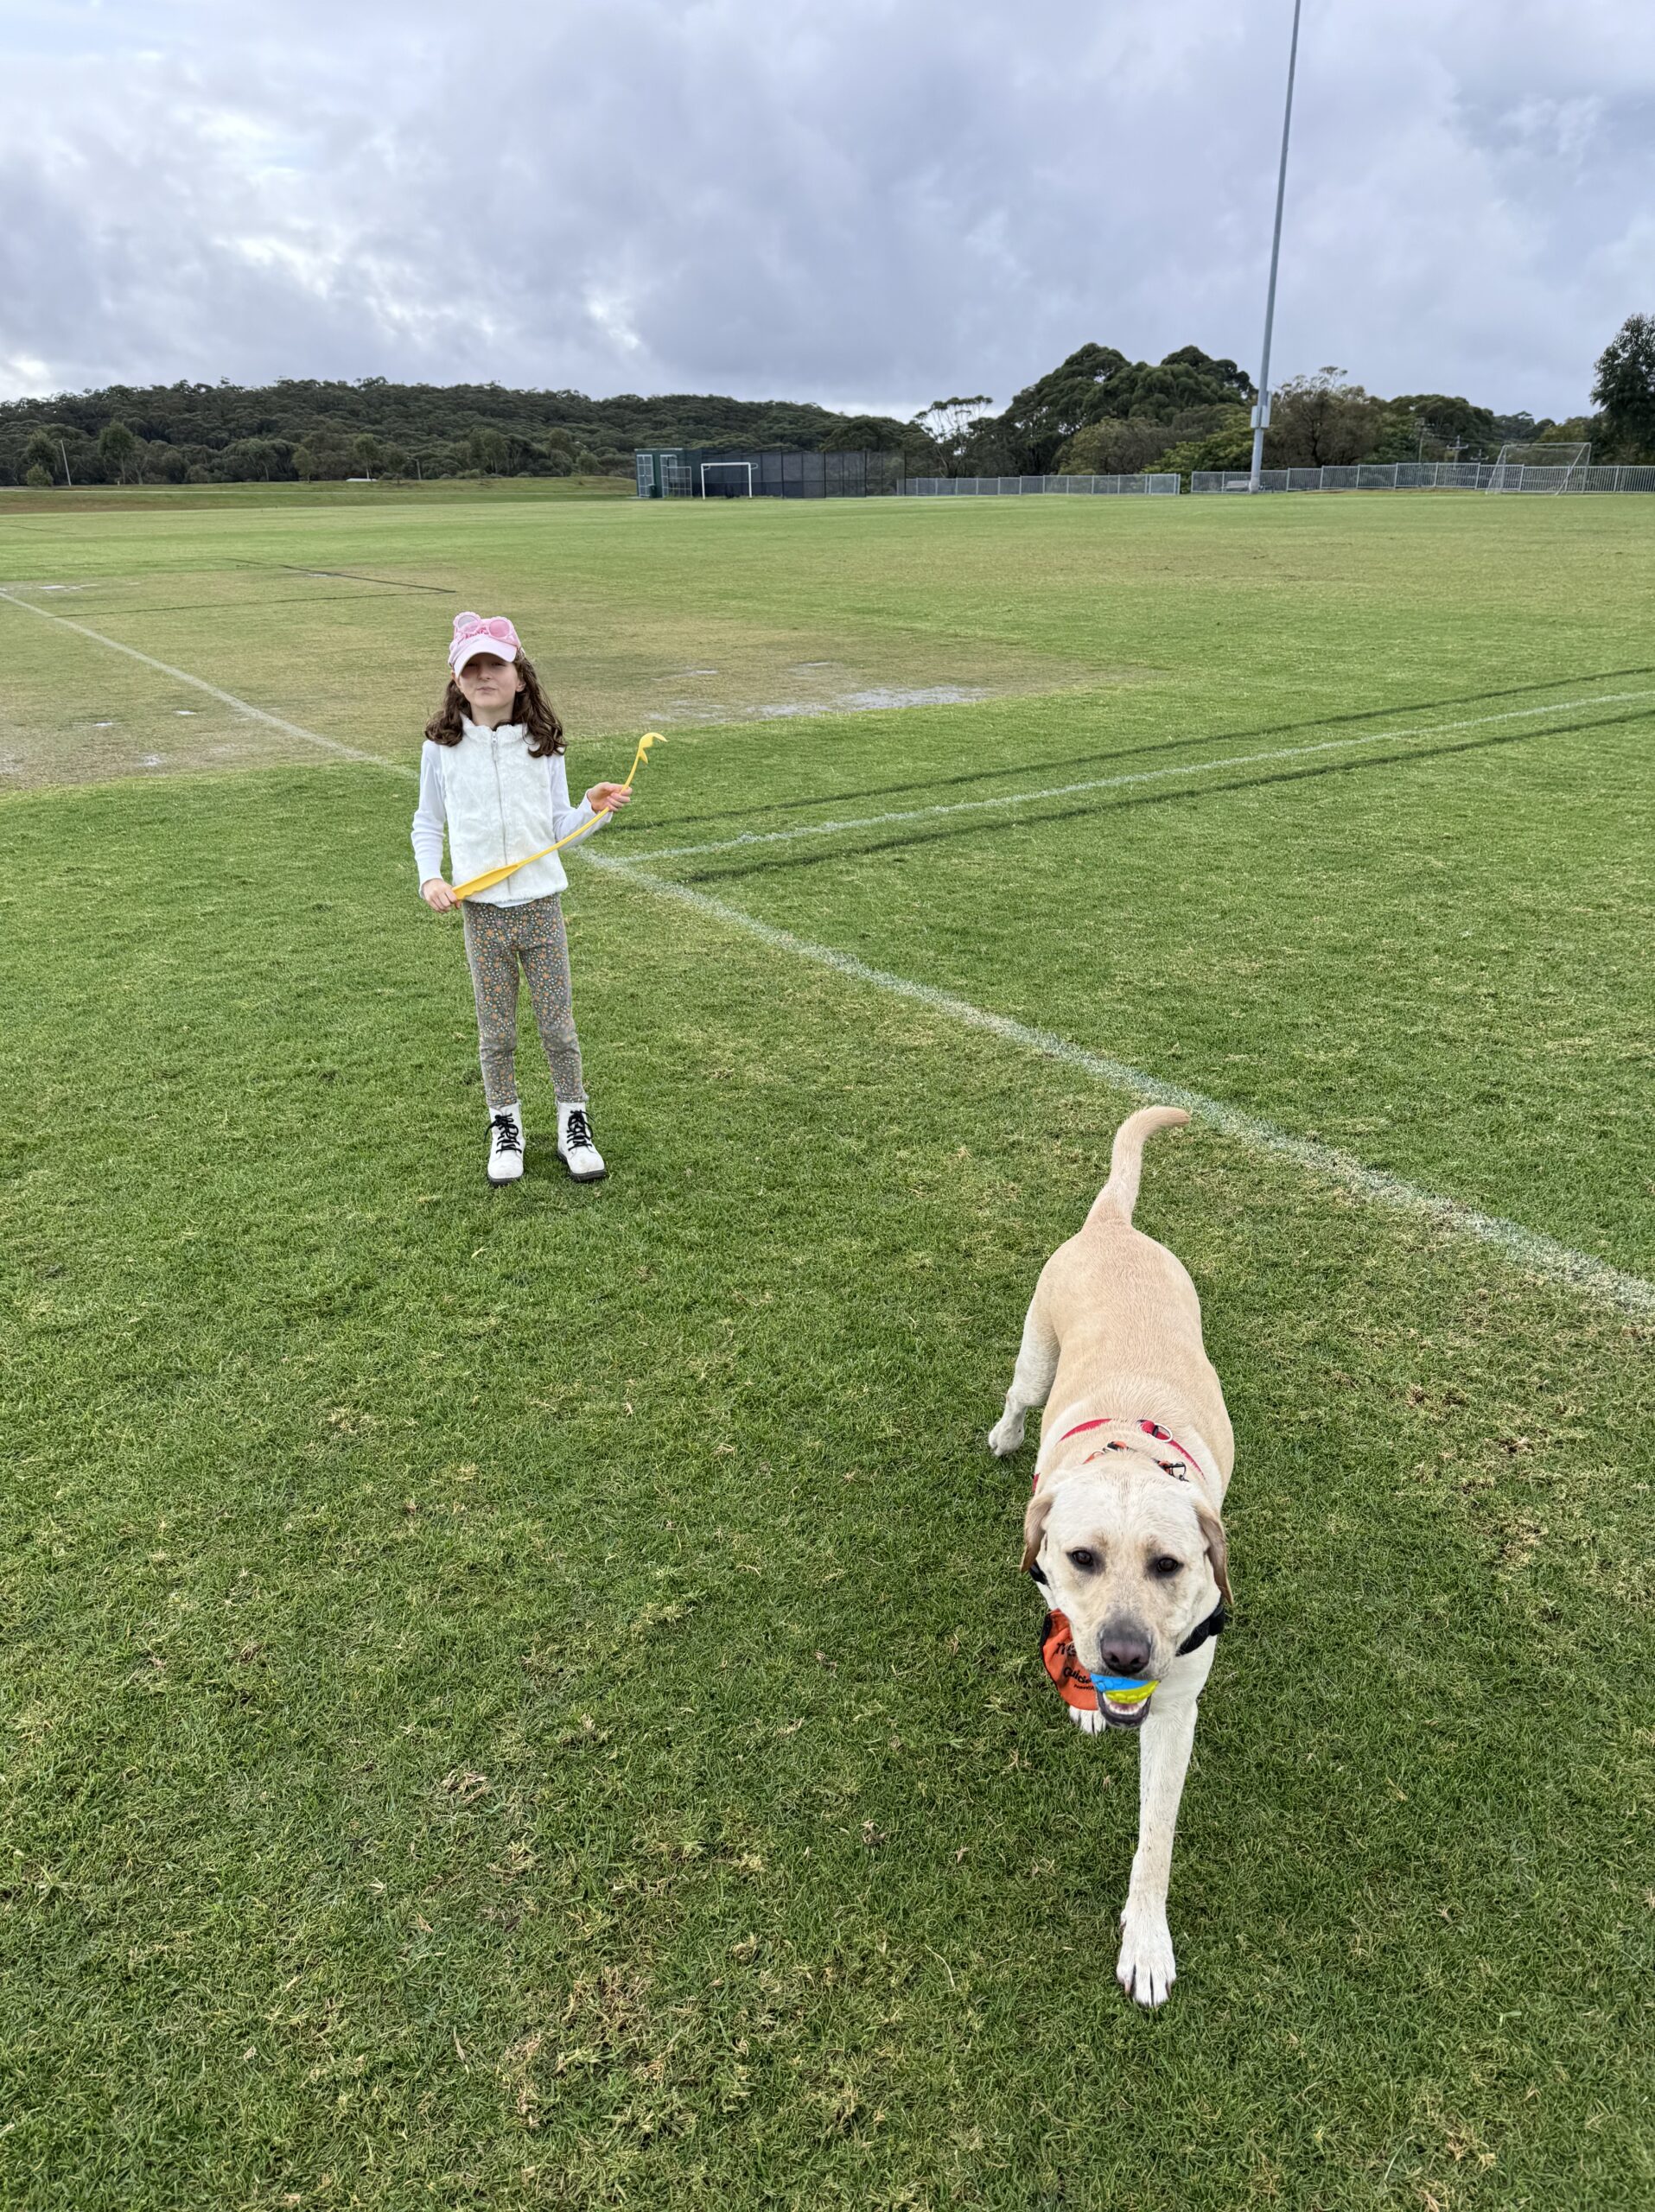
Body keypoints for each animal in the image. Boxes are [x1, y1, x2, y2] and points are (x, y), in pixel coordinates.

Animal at [982, 1106, 1230, 2008]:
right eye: (1081, 1557)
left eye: (1170, 1566)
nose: (1123, 1656)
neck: (1128, 1446)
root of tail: (1112, 1227)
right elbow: (1056, 1614)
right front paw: (1085, 1697)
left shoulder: (1179, 1706)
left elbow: (1155, 1839)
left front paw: (1147, 1941)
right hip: (1034, 1350)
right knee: (1017, 1395)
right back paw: (1004, 1434)